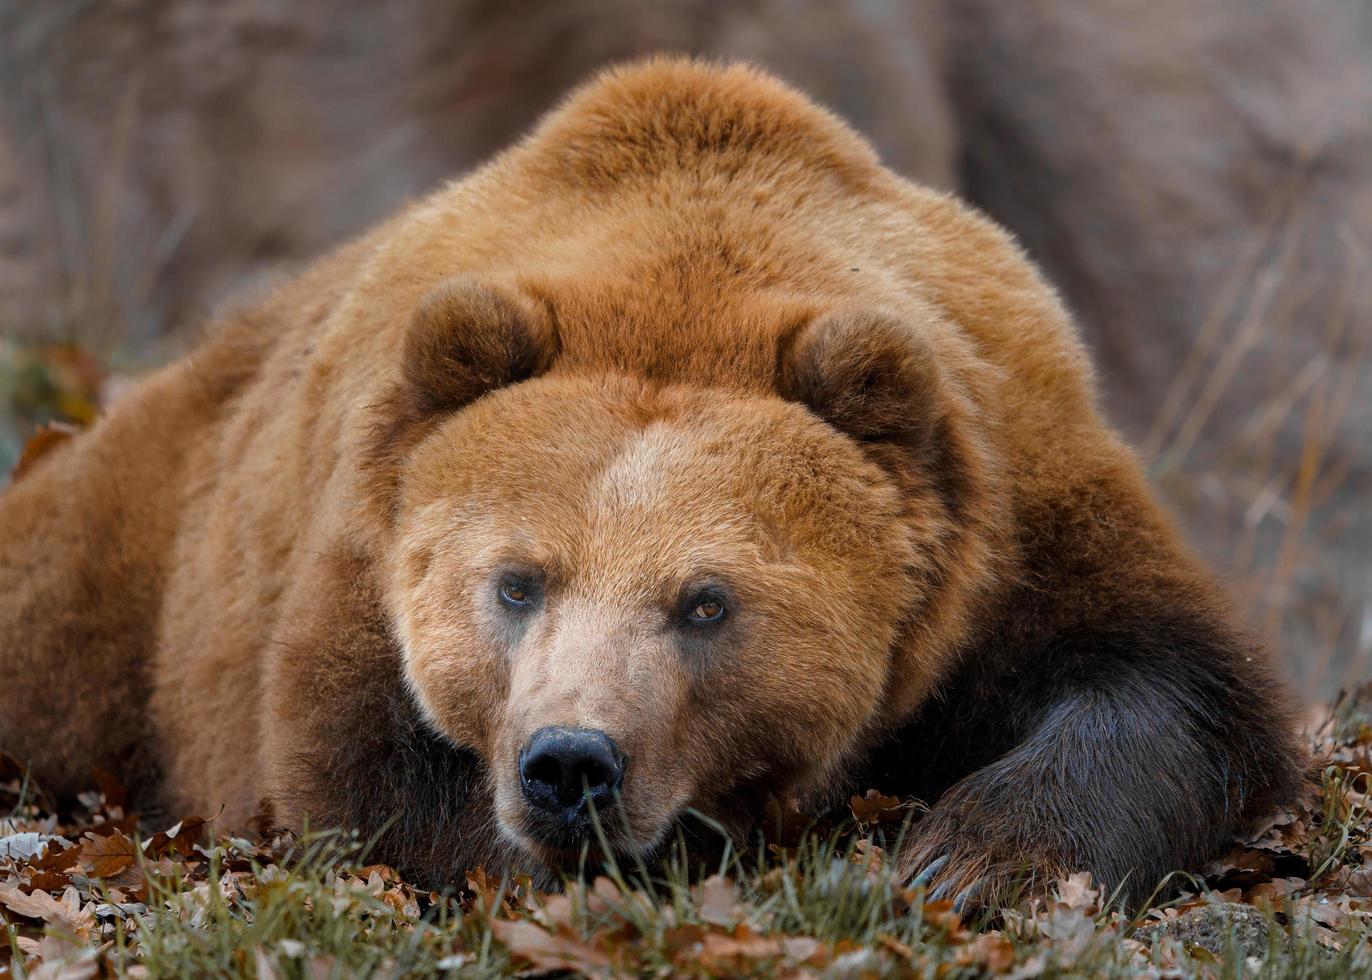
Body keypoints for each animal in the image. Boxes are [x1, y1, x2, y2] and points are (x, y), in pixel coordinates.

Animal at [0, 57, 1300, 905]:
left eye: (706, 600)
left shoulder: (1014, 503)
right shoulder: (358, 549)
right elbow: (366, 761)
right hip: (137, 562)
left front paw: (965, 854)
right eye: (516, 580)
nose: (571, 762)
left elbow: (1166, 680)